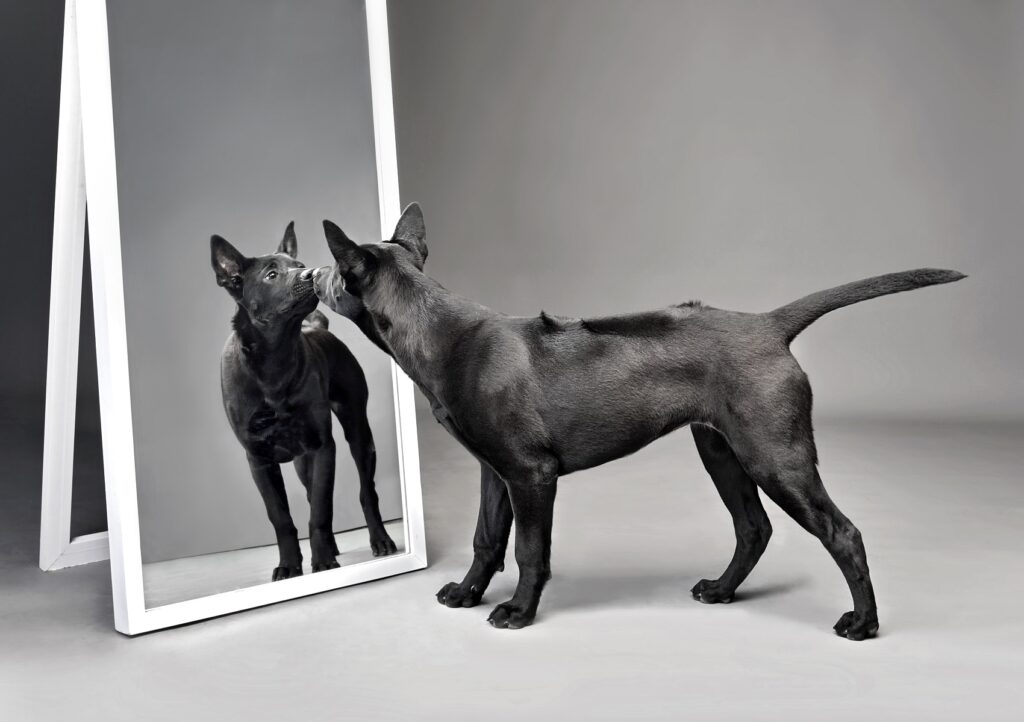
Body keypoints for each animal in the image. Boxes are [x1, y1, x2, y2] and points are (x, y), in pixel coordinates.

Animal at [210, 222, 397, 581]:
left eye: (299, 265)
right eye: (271, 275)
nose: (310, 274)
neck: (274, 360)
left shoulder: (323, 446)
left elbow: (321, 510)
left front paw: (321, 562)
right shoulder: (259, 460)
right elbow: (282, 518)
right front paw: (289, 565)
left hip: (357, 431)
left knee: (366, 492)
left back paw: (380, 540)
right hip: (300, 461)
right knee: (311, 494)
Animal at [306, 203, 964, 638]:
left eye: (332, 270)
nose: (309, 275)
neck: (440, 332)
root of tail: (766, 324)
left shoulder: (531, 475)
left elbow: (528, 549)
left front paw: (518, 612)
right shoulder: (494, 472)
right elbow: (485, 539)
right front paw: (466, 594)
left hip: (775, 456)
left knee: (842, 533)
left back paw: (863, 623)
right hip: (721, 450)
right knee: (753, 528)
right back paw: (722, 591)